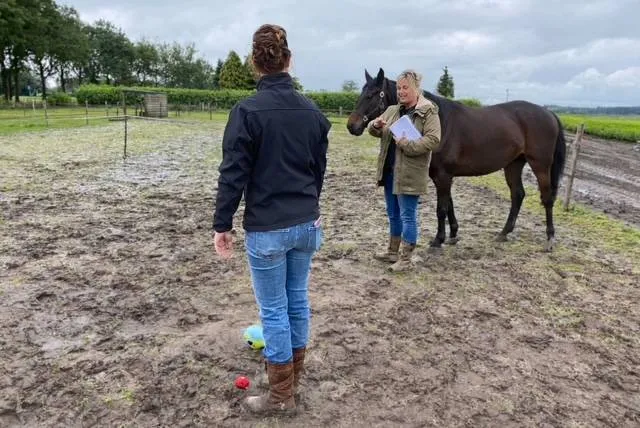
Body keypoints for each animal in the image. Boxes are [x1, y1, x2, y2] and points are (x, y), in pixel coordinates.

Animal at [346, 68, 567, 252]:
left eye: (371, 95)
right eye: (361, 94)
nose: (351, 126)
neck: (441, 122)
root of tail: (549, 112)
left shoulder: (444, 176)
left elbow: (441, 208)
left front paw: (438, 240)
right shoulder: (442, 176)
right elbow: (449, 205)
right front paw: (452, 234)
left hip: (540, 165)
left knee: (547, 198)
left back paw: (549, 239)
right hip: (514, 164)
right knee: (518, 195)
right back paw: (504, 233)